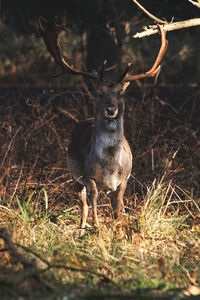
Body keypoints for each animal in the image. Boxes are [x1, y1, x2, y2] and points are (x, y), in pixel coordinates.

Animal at [38, 17, 168, 229]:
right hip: (73, 174)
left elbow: (118, 208)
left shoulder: (124, 180)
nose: (110, 109)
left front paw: (120, 230)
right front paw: (97, 227)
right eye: (99, 93)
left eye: (121, 93)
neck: (110, 168)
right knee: (83, 204)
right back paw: (82, 229)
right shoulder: (87, 175)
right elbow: (93, 199)